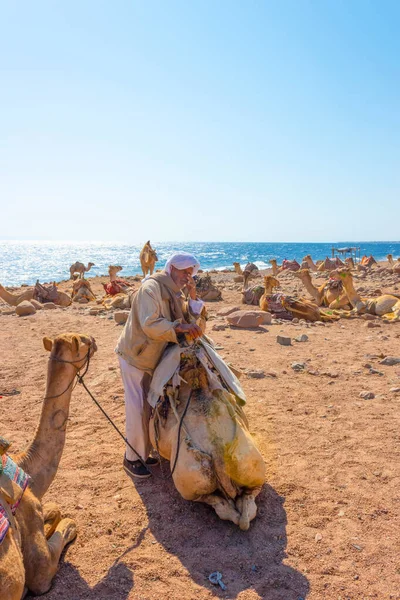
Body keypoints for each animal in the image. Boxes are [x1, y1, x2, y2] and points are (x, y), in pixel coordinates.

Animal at [0, 332, 97, 600]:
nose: (94, 340)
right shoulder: (39, 574)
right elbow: (67, 525)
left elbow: (53, 508)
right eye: (83, 340)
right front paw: (63, 526)